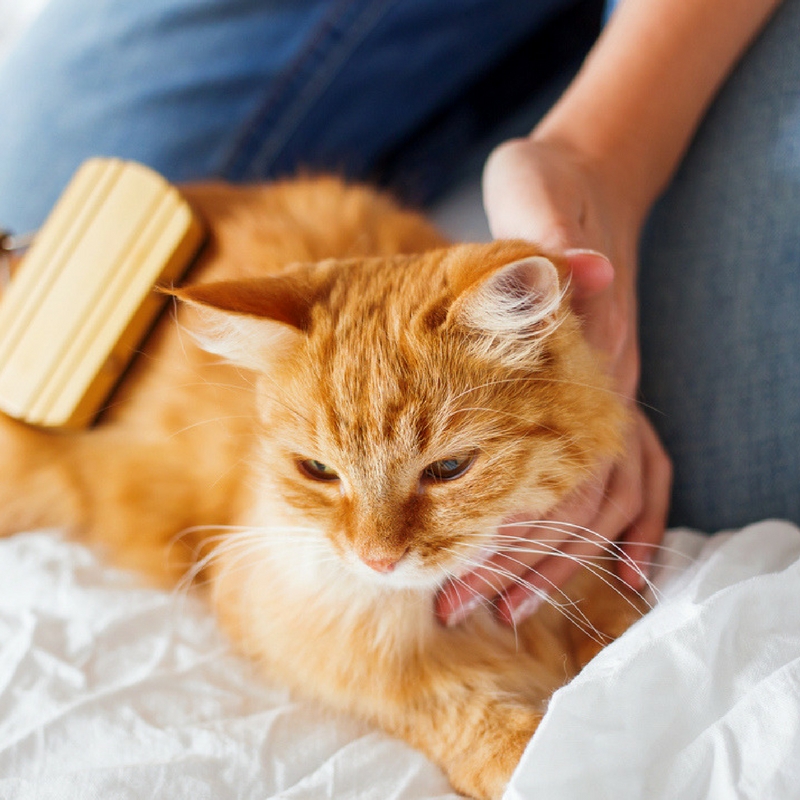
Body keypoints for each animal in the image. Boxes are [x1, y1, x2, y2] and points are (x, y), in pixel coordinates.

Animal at [0, 177, 644, 800]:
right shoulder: (299, 633)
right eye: (318, 471)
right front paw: (531, 752)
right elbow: (447, 710)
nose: (377, 559)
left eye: (450, 468)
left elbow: (619, 636)